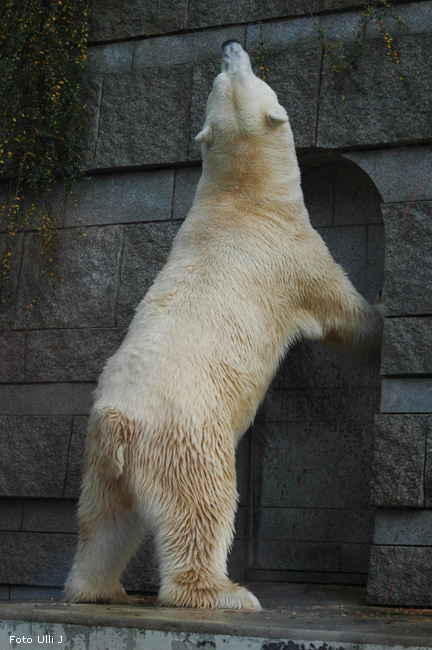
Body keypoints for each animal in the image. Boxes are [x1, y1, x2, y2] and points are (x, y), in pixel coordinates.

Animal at [64, 39, 382, 608]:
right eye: (236, 74)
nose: (230, 45)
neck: (241, 197)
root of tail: (120, 422)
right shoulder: (293, 251)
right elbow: (339, 310)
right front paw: (382, 317)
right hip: (187, 439)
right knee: (201, 508)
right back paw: (226, 593)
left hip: (99, 459)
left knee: (104, 524)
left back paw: (100, 590)